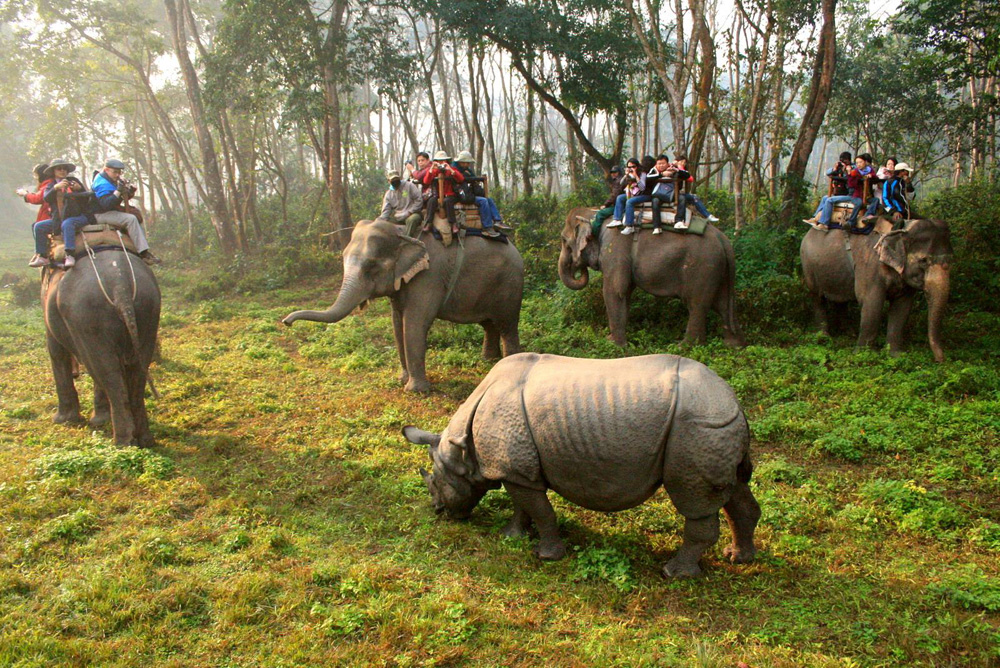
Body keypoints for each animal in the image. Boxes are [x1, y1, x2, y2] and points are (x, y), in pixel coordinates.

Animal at [43, 248, 161, 446]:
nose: (76, 374)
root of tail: (119, 285)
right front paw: (101, 419)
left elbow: (56, 352)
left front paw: (62, 420)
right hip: (148, 309)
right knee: (137, 369)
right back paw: (144, 440)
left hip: (87, 318)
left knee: (105, 370)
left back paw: (123, 443)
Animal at [282, 218, 524, 392]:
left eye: (371, 266)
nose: (286, 322)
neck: (402, 233)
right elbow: (397, 323)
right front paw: (402, 379)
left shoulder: (428, 276)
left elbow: (414, 323)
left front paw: (416, 391)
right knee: (489, 324)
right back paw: (488, 360)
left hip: (510, 285)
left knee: (507, 324)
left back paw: (509, 363)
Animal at [402, 352, 760, 576]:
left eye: (436, 483)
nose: (438, 510)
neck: (463, 448)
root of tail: (734, 402)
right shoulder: (517, 468)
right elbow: (524, 506)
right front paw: (511, 536)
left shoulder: (514, 466)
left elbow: (542, 511)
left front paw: (546, 556)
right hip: (716, 428)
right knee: (735, 491)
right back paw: (738, 558)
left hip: (698, 428)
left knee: (694, 501)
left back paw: (674, 573)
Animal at [560, 206, 748, 348]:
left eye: (563, 240)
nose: (578, 266)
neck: (594, 215)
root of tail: (724, 241)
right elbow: (625, 293)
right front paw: (611, 340)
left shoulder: (615, 249)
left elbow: (614, 291)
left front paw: (615, 346)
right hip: (719, 269)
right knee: (722, 303)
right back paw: (734, 345)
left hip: (702, 267)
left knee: (697, 304)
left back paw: (682, 347)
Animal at [796, 220, 952, 362]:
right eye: (923, 261)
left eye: (951, 260)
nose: (940, 360)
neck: (901, 230)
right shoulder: (870, 266)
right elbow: (872, 303)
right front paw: (862, 355)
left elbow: (902, 308)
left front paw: (895, 355)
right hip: (808, 265)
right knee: (817, 298)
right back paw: (823, 337)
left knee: (841, 300)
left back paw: (848, 334)